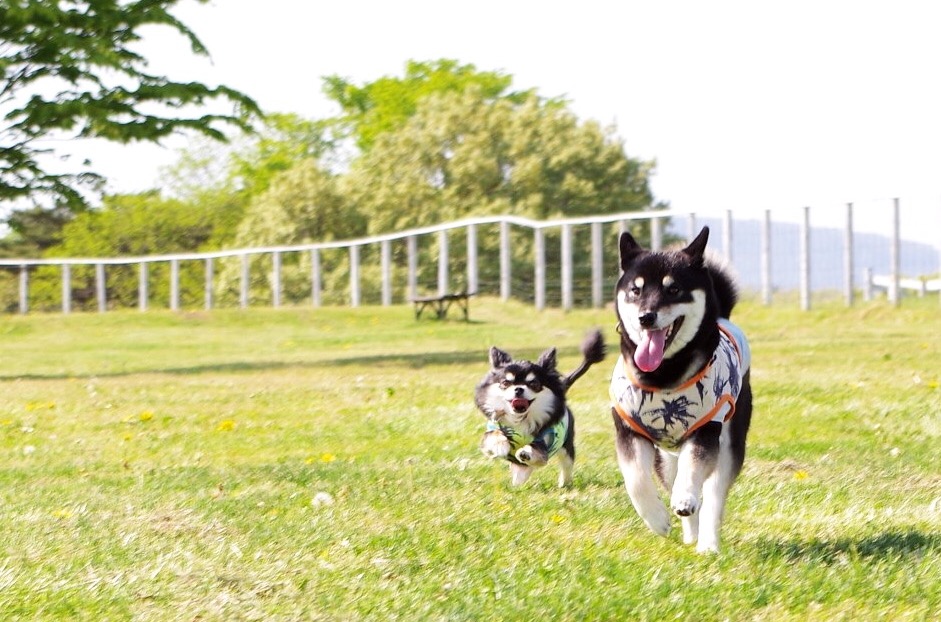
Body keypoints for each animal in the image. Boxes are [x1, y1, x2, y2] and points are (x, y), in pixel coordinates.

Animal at [474, 334, 604, 490]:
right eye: (505, 383)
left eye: (534, 384)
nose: (518, 389)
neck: (520, 419)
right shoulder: (490, 436)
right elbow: (493, 435)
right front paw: (500, 444)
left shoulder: (544, 448)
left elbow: (536, 450)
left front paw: (526, 452)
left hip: (566, 446)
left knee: (566, 464)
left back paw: (564, 483)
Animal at [604, 228, 752, 556]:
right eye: (635, 290)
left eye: (673, 290)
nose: (646, 317)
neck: (663, 377)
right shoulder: (629, 429)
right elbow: (636, 480)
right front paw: (657, 519)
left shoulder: (705, 429)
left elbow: (693, 471)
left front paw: (685, 498)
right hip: (666, 456)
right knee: (674, 480)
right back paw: (690, 534)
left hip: (729, 441)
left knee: (712, 496)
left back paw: (707, 541)